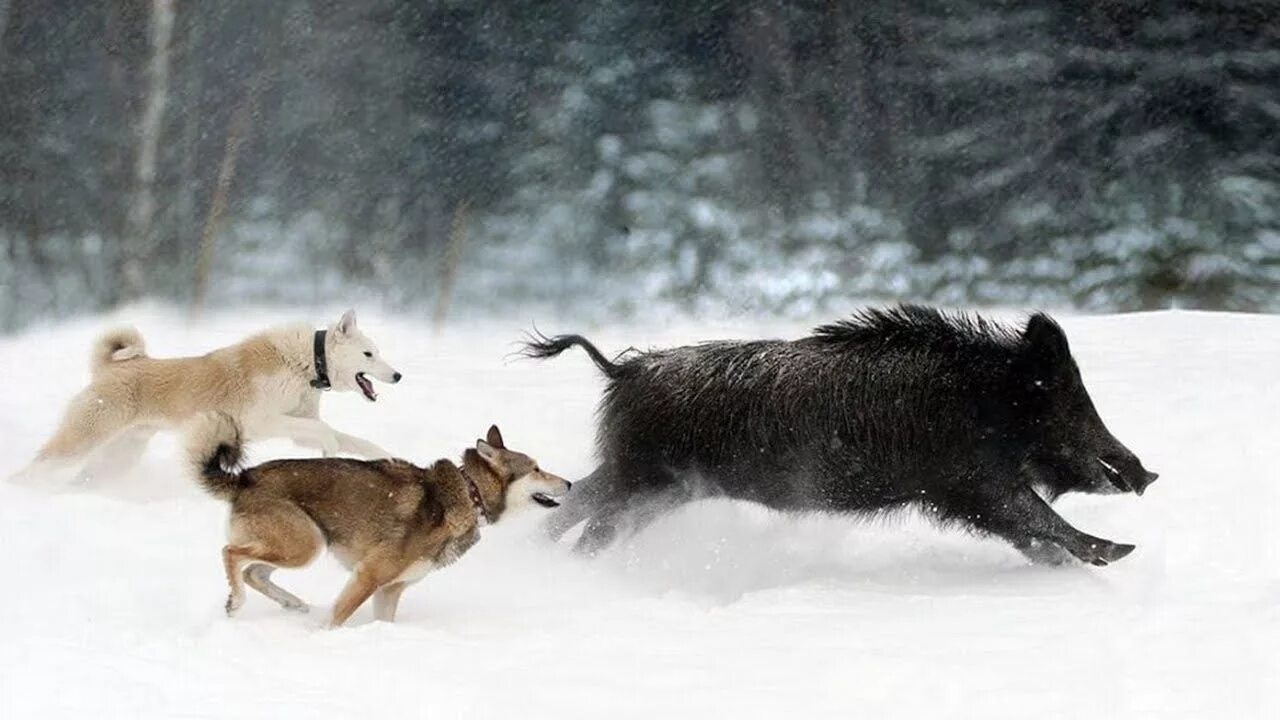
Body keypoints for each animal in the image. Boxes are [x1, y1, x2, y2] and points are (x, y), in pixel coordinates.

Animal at [186, 412, 573, 625]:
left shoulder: (390, 590)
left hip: (299, 546)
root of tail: (244, 477)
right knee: (231, 555)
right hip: (306, 545)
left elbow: (384, 622)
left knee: (253, 571)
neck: (469, 492)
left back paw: (291, 603)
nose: (570, 483)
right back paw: (236, 602)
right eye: (536, 468)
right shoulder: (368, 577)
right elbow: (336, 620)